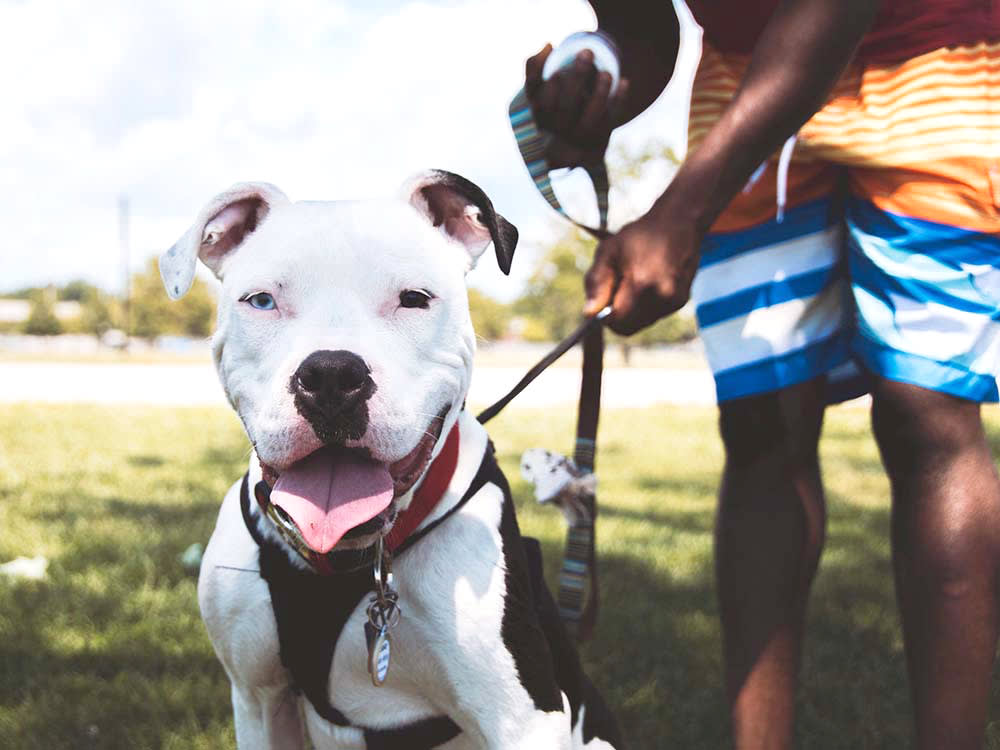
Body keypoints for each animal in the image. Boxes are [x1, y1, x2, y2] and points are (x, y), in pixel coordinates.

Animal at [159, 172, 620, 750]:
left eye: (414, 299)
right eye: (262, 300)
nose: (331, 376)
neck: (349, 559)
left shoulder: (523, 721)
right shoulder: (257, 699)